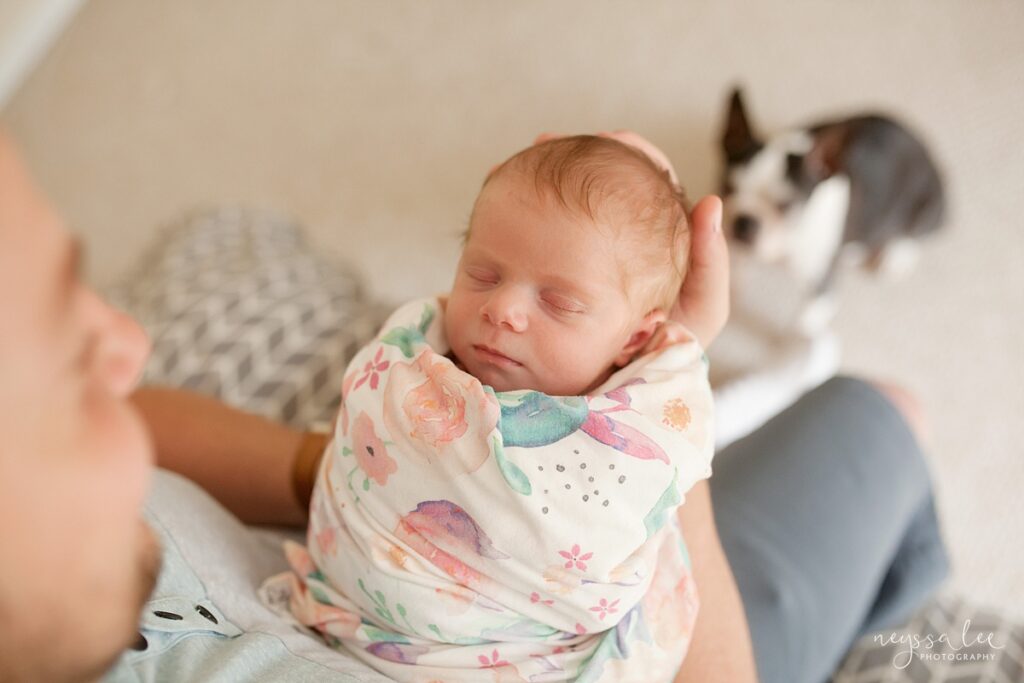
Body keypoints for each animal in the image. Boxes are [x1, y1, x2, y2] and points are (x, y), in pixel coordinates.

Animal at [716, 89, 946, 335]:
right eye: (727, 188)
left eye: (786, 205)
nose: (744, 221)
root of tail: (929, 154)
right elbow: (735, 263)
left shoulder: (821, 283)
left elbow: (807, 320)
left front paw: (797, 341)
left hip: (928, 204)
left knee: (912, 233)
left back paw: (897, 257)